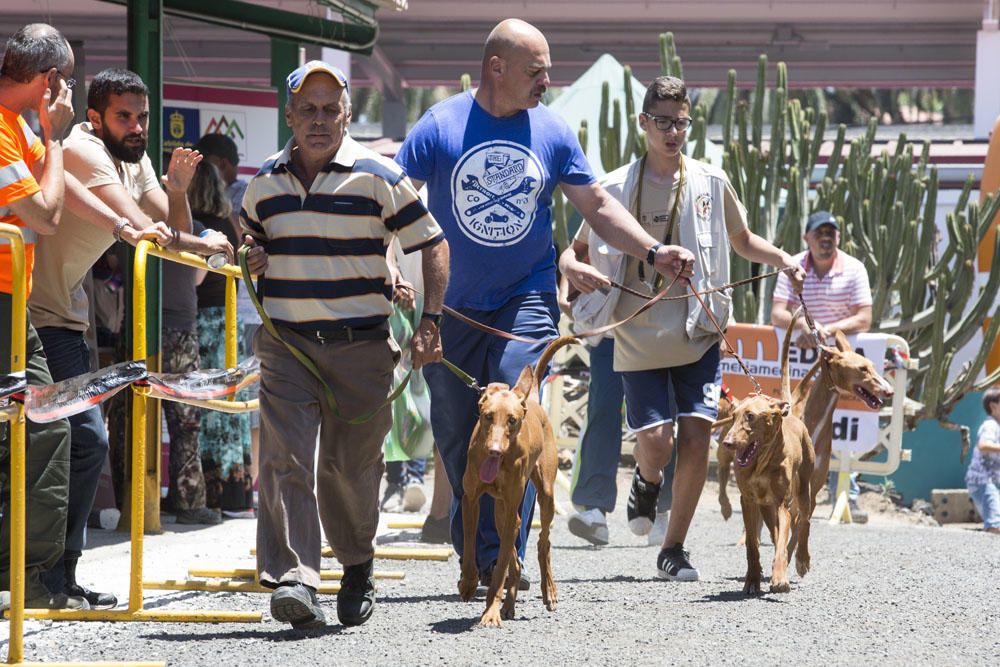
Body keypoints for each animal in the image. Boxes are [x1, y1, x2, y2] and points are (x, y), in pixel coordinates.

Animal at [458, 336, 576, 628]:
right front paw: (468, 583)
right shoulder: (471, 500)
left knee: (543, 542)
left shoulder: (513, 505)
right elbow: (470, 543)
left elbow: (501, 567)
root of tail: (530, 398)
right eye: (488, 415)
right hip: (501, 511)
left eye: (511, 420)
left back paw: (548, 592)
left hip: (545, 495)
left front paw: (491, 611)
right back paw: (509, 602)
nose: (494, 451)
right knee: (514, 548)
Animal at [720, 316, 812, 596]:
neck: (760, 464)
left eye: (750, 416)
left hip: (804, 490)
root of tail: (788, 412)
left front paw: (780, 578)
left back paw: (801, 560)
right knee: (774, 532)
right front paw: (752, 579)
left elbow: (782, 544)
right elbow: (752, 544)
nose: (727, 443)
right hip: (766, 507)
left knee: (804, 522)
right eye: (734, 415)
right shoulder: (748, 501)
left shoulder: (783, 503)